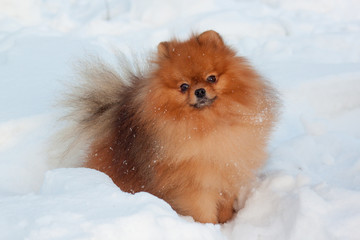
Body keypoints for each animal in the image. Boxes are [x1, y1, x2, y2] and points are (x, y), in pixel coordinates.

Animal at [58, 30, 278, 223]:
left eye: (211, 78)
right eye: (183, 87)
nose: (199, 91)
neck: (210, 124)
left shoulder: (229, 170)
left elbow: (225, 204)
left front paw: (227, 222)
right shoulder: (195, 185)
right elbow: (204, 212)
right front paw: (210, 228)